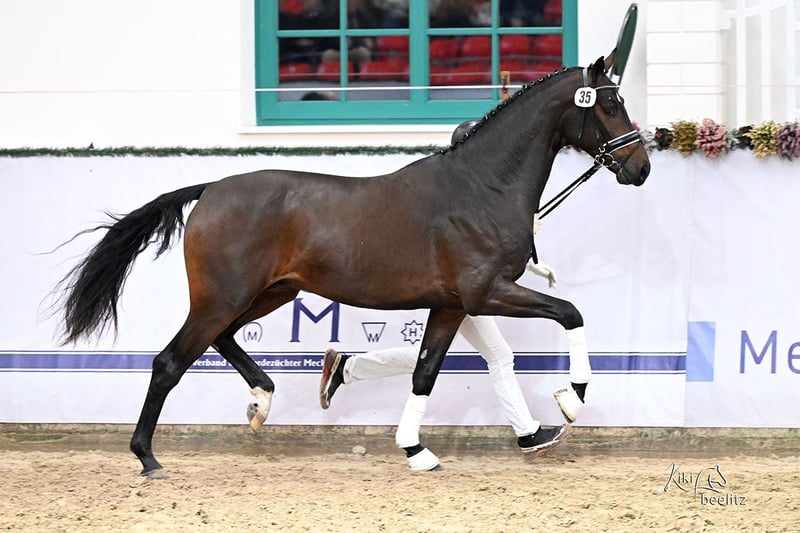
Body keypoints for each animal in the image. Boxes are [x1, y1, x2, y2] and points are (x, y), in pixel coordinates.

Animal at [55, 53, 650, 478]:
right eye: (609, 106)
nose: (640, 167)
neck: (483, 188)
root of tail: (212, 188)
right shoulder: (487, 293)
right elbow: (571, 313)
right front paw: (569, 403)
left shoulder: (452, 305)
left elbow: (425, 372)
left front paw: (417, 451)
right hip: (223, 296)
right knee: (170, 362)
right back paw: (148, 458)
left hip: (268, 292)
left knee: (222, 340)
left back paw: (262, 401)